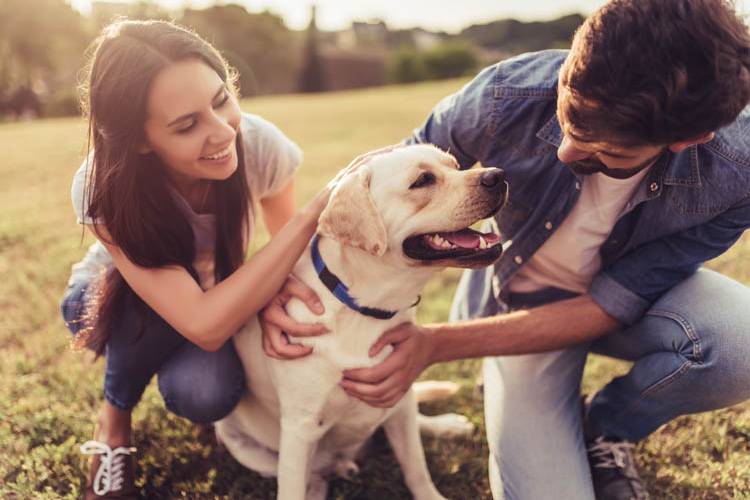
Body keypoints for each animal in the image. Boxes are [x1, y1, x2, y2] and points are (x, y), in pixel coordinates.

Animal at [220, 143, 508, 498]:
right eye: (423, 180)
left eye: (455, 165)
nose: (498, 175)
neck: (366, 309)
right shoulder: (300, 428)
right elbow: (292, 488)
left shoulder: (398, 388)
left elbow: (416, 468)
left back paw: (447, 425)